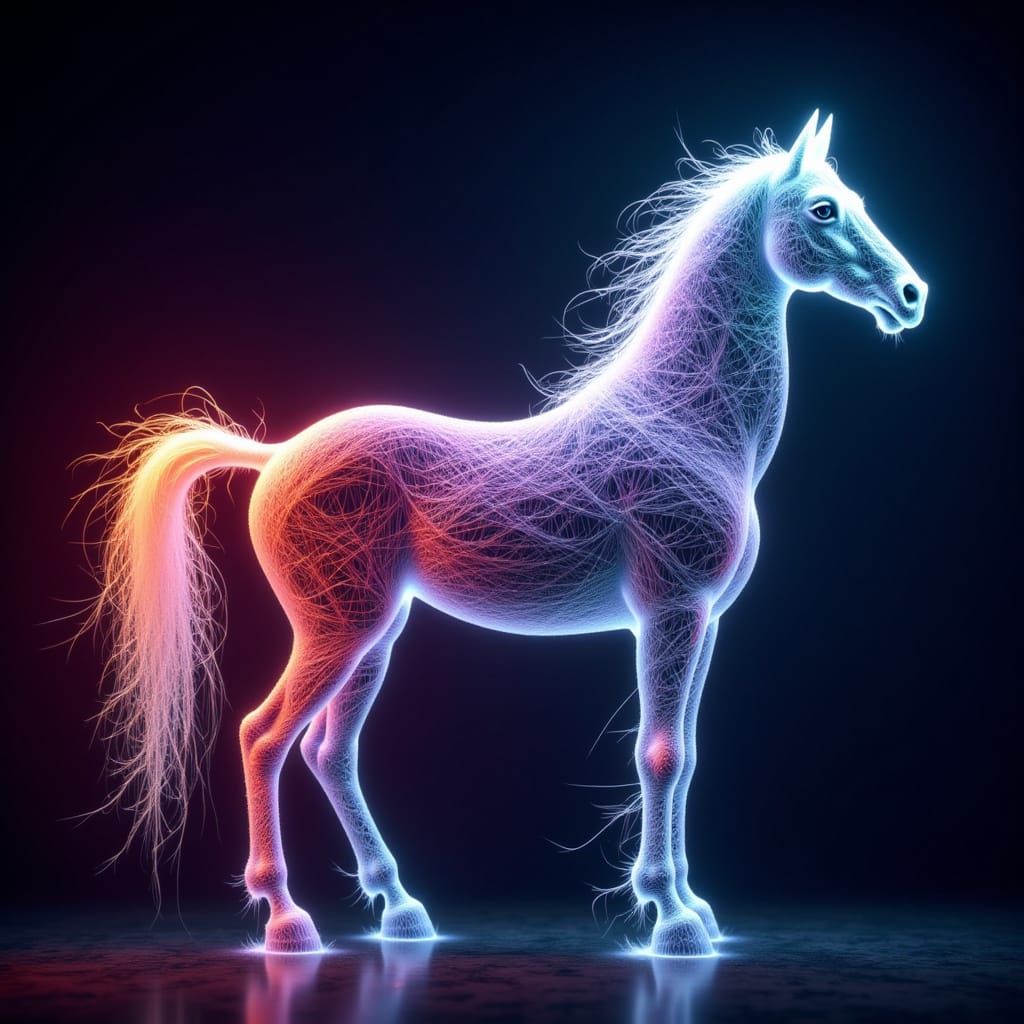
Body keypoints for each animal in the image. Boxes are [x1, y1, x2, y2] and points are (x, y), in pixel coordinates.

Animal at [78, 111, 927, 957]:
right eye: (824, 209)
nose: (913, 295)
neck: (683, 421)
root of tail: (277, 454)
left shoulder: (702, 622)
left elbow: (686, 756)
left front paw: (694, 910)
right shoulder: (670, 613)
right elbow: (658, 753)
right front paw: (670, 916)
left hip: (374, 632)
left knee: (329, 750)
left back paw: (401, 910)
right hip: (338, 627)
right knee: (264, 737)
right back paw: (289, 921)